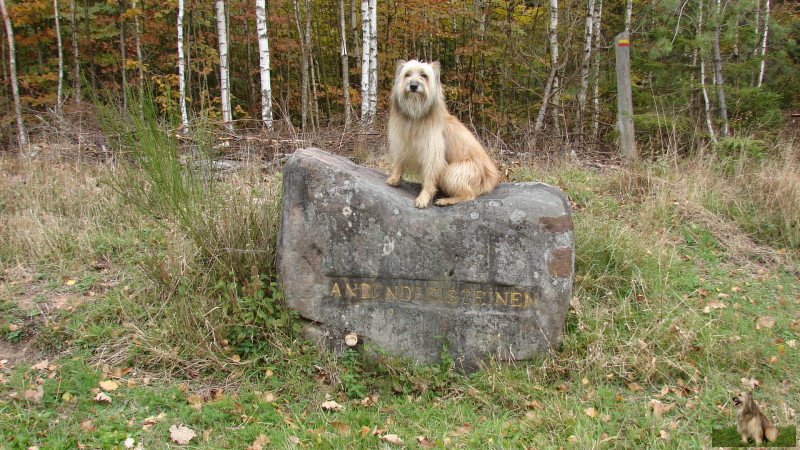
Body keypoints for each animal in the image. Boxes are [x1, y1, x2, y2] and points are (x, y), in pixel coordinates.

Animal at [388, 59, 500, 208]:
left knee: (469, 195)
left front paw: (423, 198)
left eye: (424, 75)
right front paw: (394, 178)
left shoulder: (433, 155)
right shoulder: (401, 143)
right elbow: (399, 162)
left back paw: (446, 200)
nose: (413, 86)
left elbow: (429, 179)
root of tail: (492, 179)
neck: (416, 114)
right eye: (407, 75)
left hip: (454, 172)